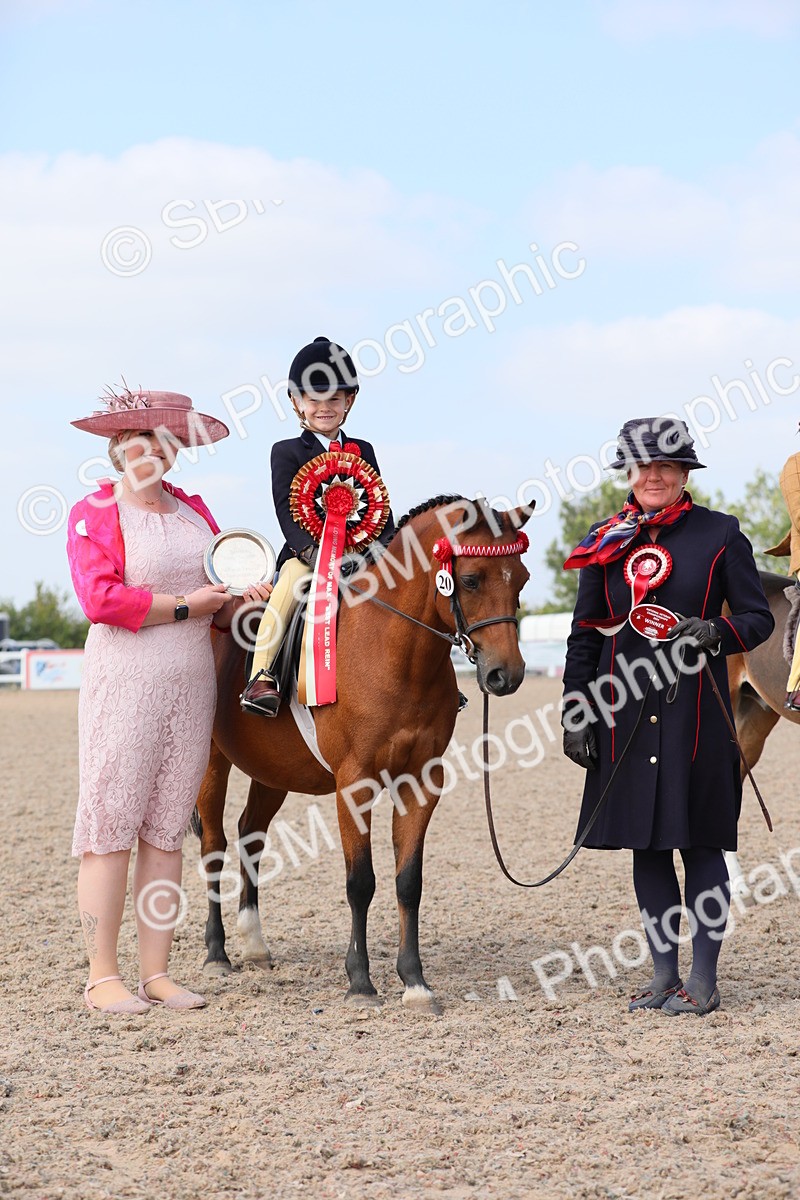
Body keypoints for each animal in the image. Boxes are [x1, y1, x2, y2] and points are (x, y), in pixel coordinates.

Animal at [194, 495, 531, 1013]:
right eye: (472, 578)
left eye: (523, 579)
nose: (505, 675)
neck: (396, 651)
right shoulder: (354, 784)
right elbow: (361, 882)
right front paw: (360, 981)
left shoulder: (421, 782)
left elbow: (408, 881)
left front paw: (415, 983)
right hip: (212, 763)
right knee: (214, 846)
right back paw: (217, 953)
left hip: (272, 772)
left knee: (250, 834)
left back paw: (254, 944)